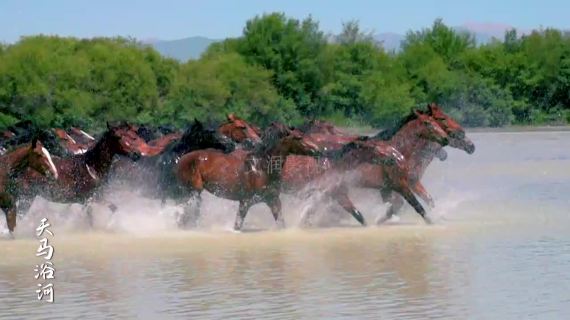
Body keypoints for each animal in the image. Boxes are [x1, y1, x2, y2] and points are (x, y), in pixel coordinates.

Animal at [12, 122, 146, 228]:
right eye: (118, 137)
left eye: (131, 137)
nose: (136, 154)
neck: (91, 167)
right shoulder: (88, 199)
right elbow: (90, 216)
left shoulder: (96, 196)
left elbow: (113, 208)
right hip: (27, 197)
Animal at [173, 122, 320, 230]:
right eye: (298, 138)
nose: (317, 150)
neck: (262, 167)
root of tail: (182, 158)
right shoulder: (245, 202)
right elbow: (237, 226)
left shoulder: (273, 200)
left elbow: (282, 224)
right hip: (192, 193)